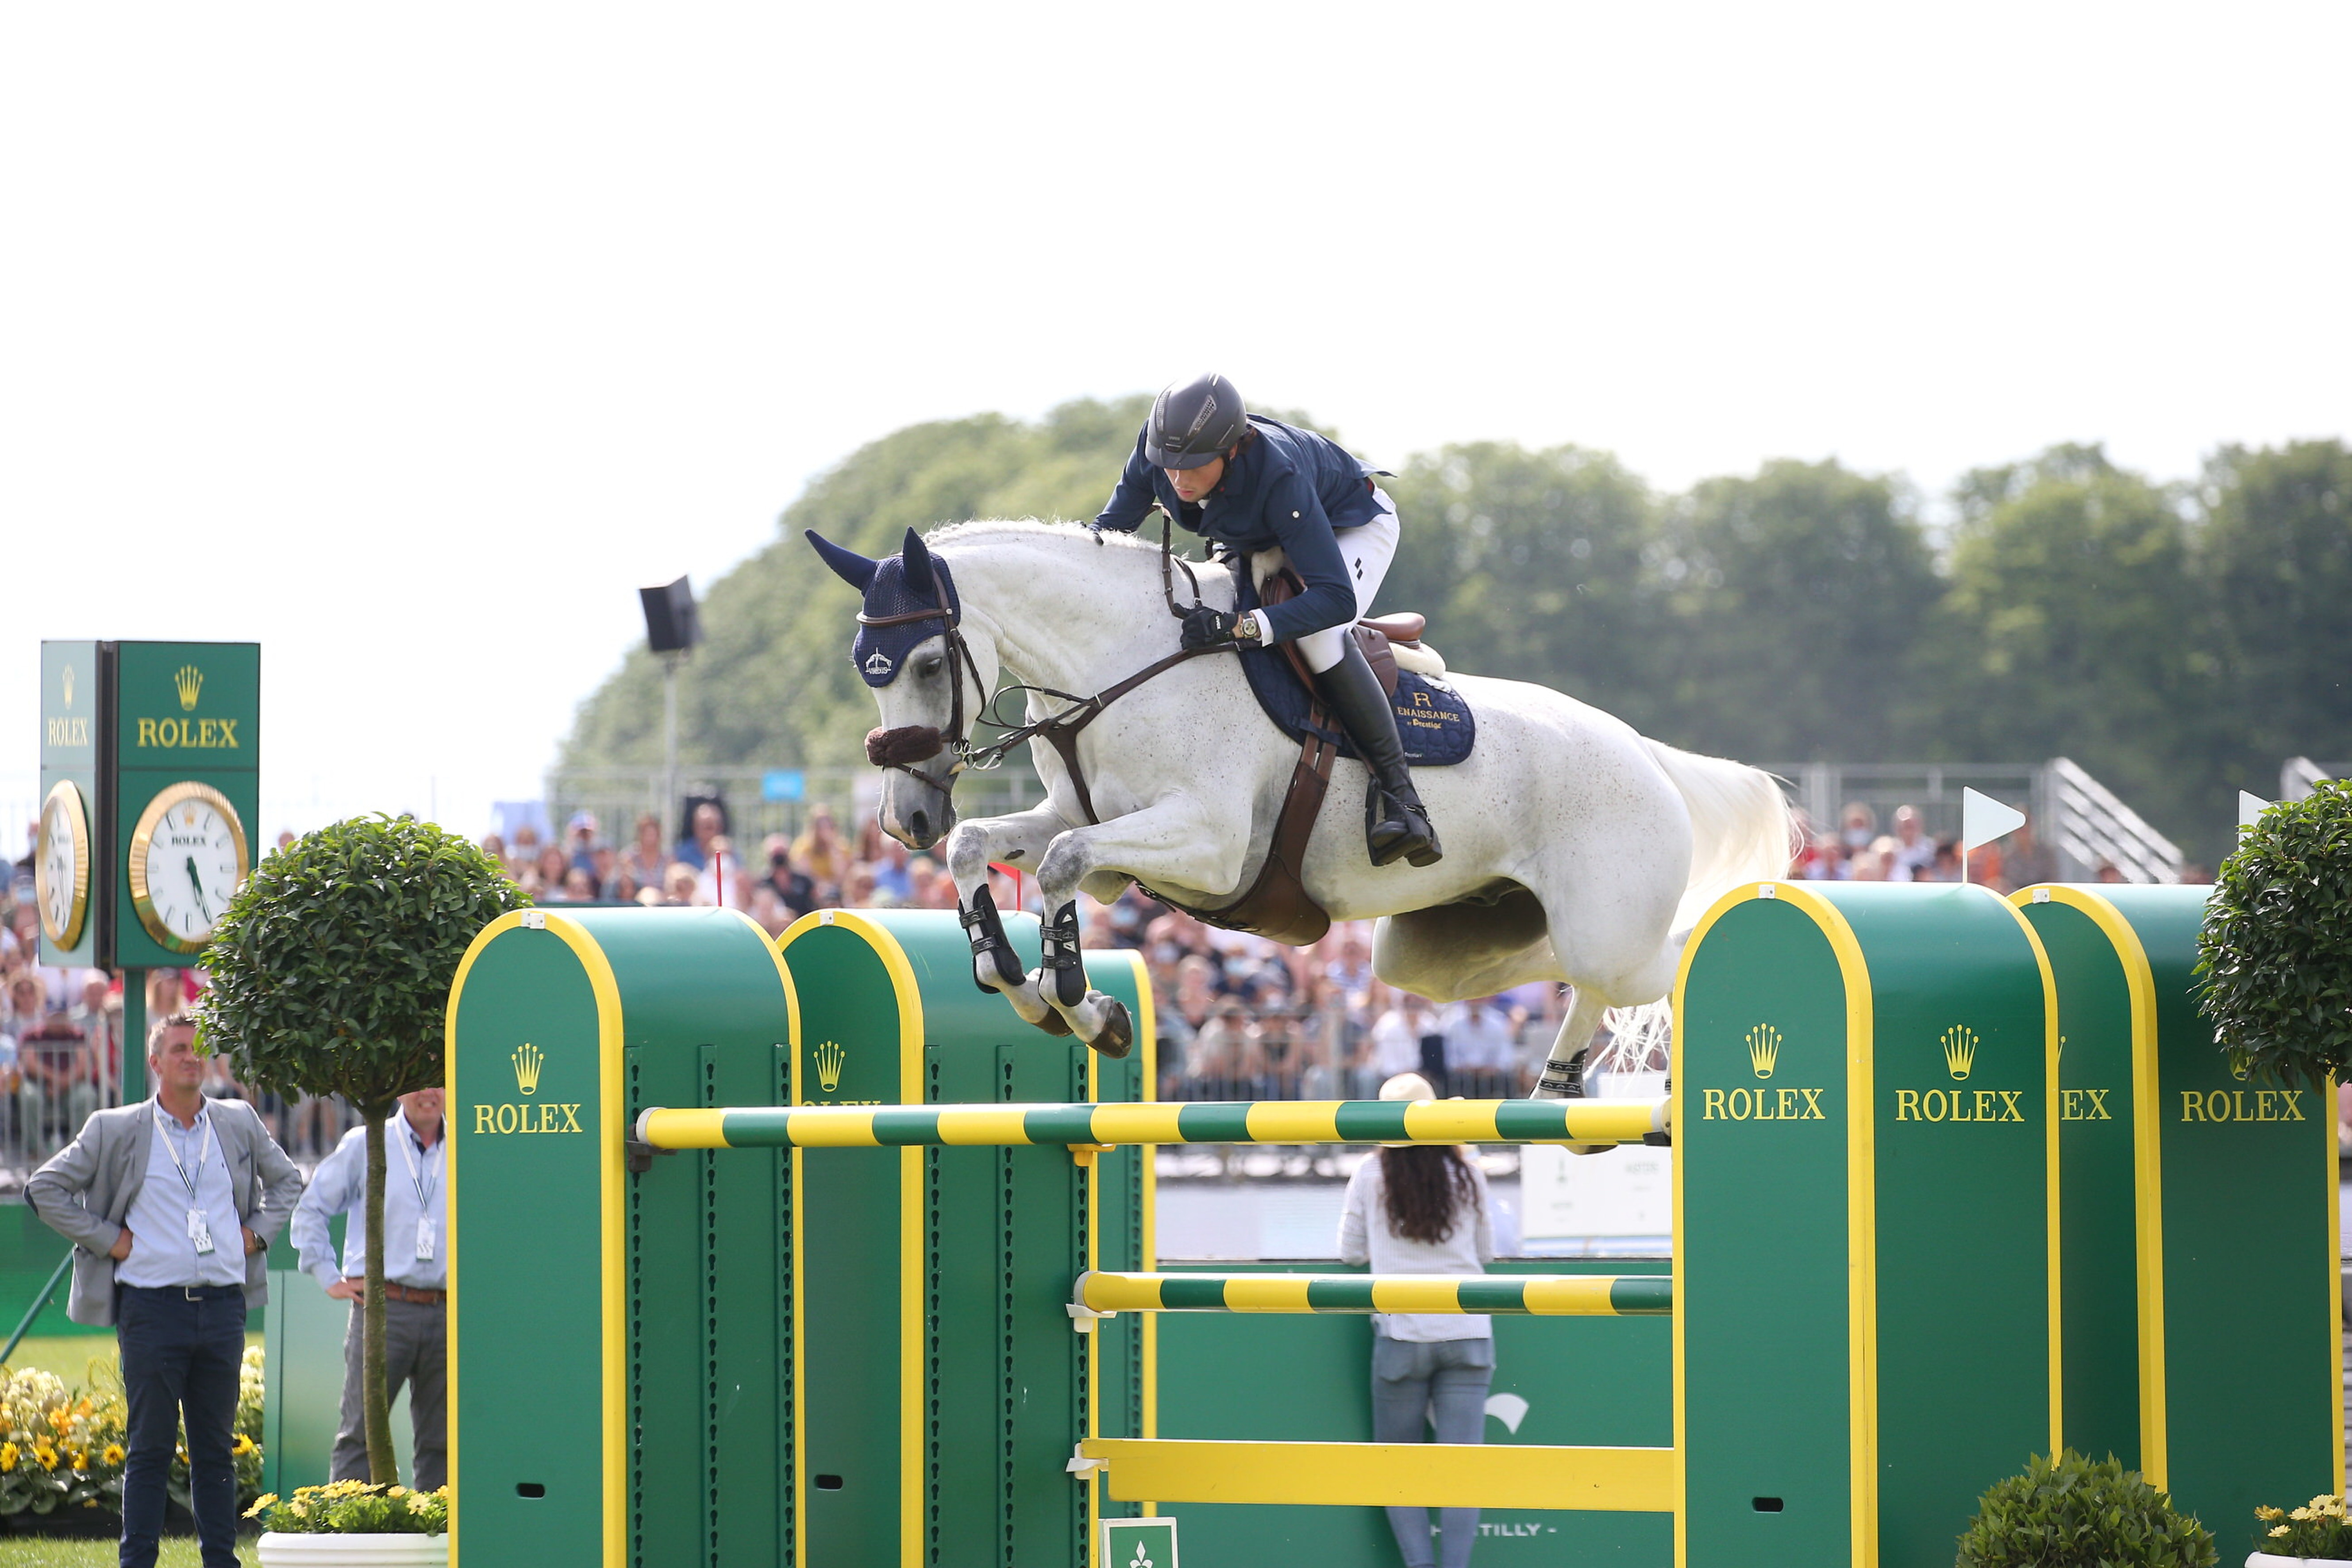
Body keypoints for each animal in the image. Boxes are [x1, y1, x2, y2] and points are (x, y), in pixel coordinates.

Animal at [813, 522, 1797, 1100]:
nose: (904, 819)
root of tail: (1648, 756)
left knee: (1653, 961)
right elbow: (983, 847)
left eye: (928, 665)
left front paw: (1083, 1007)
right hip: (1439, 953)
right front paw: (1017, 979)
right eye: (865, 667)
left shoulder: (1208, 846)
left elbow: (1061, 866)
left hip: (1606, 921)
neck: (1122, 665)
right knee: (1557, 971)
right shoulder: (1079, 819)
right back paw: (1554, 1075)